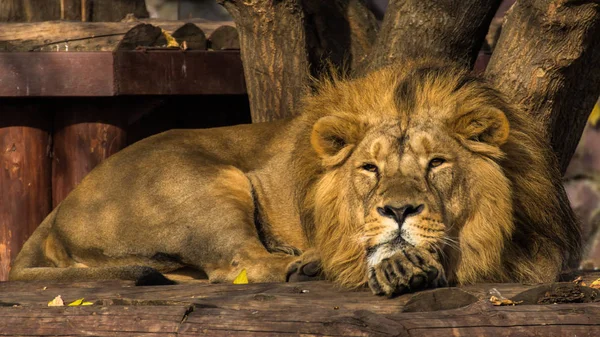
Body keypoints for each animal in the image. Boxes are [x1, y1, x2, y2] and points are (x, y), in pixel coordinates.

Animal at [10, 59, 580, 296]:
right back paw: (308, 264)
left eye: (436, 163)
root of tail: (56, 211)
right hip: (209, 181)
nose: (397, 211)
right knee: (240, 265)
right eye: (369, 168)